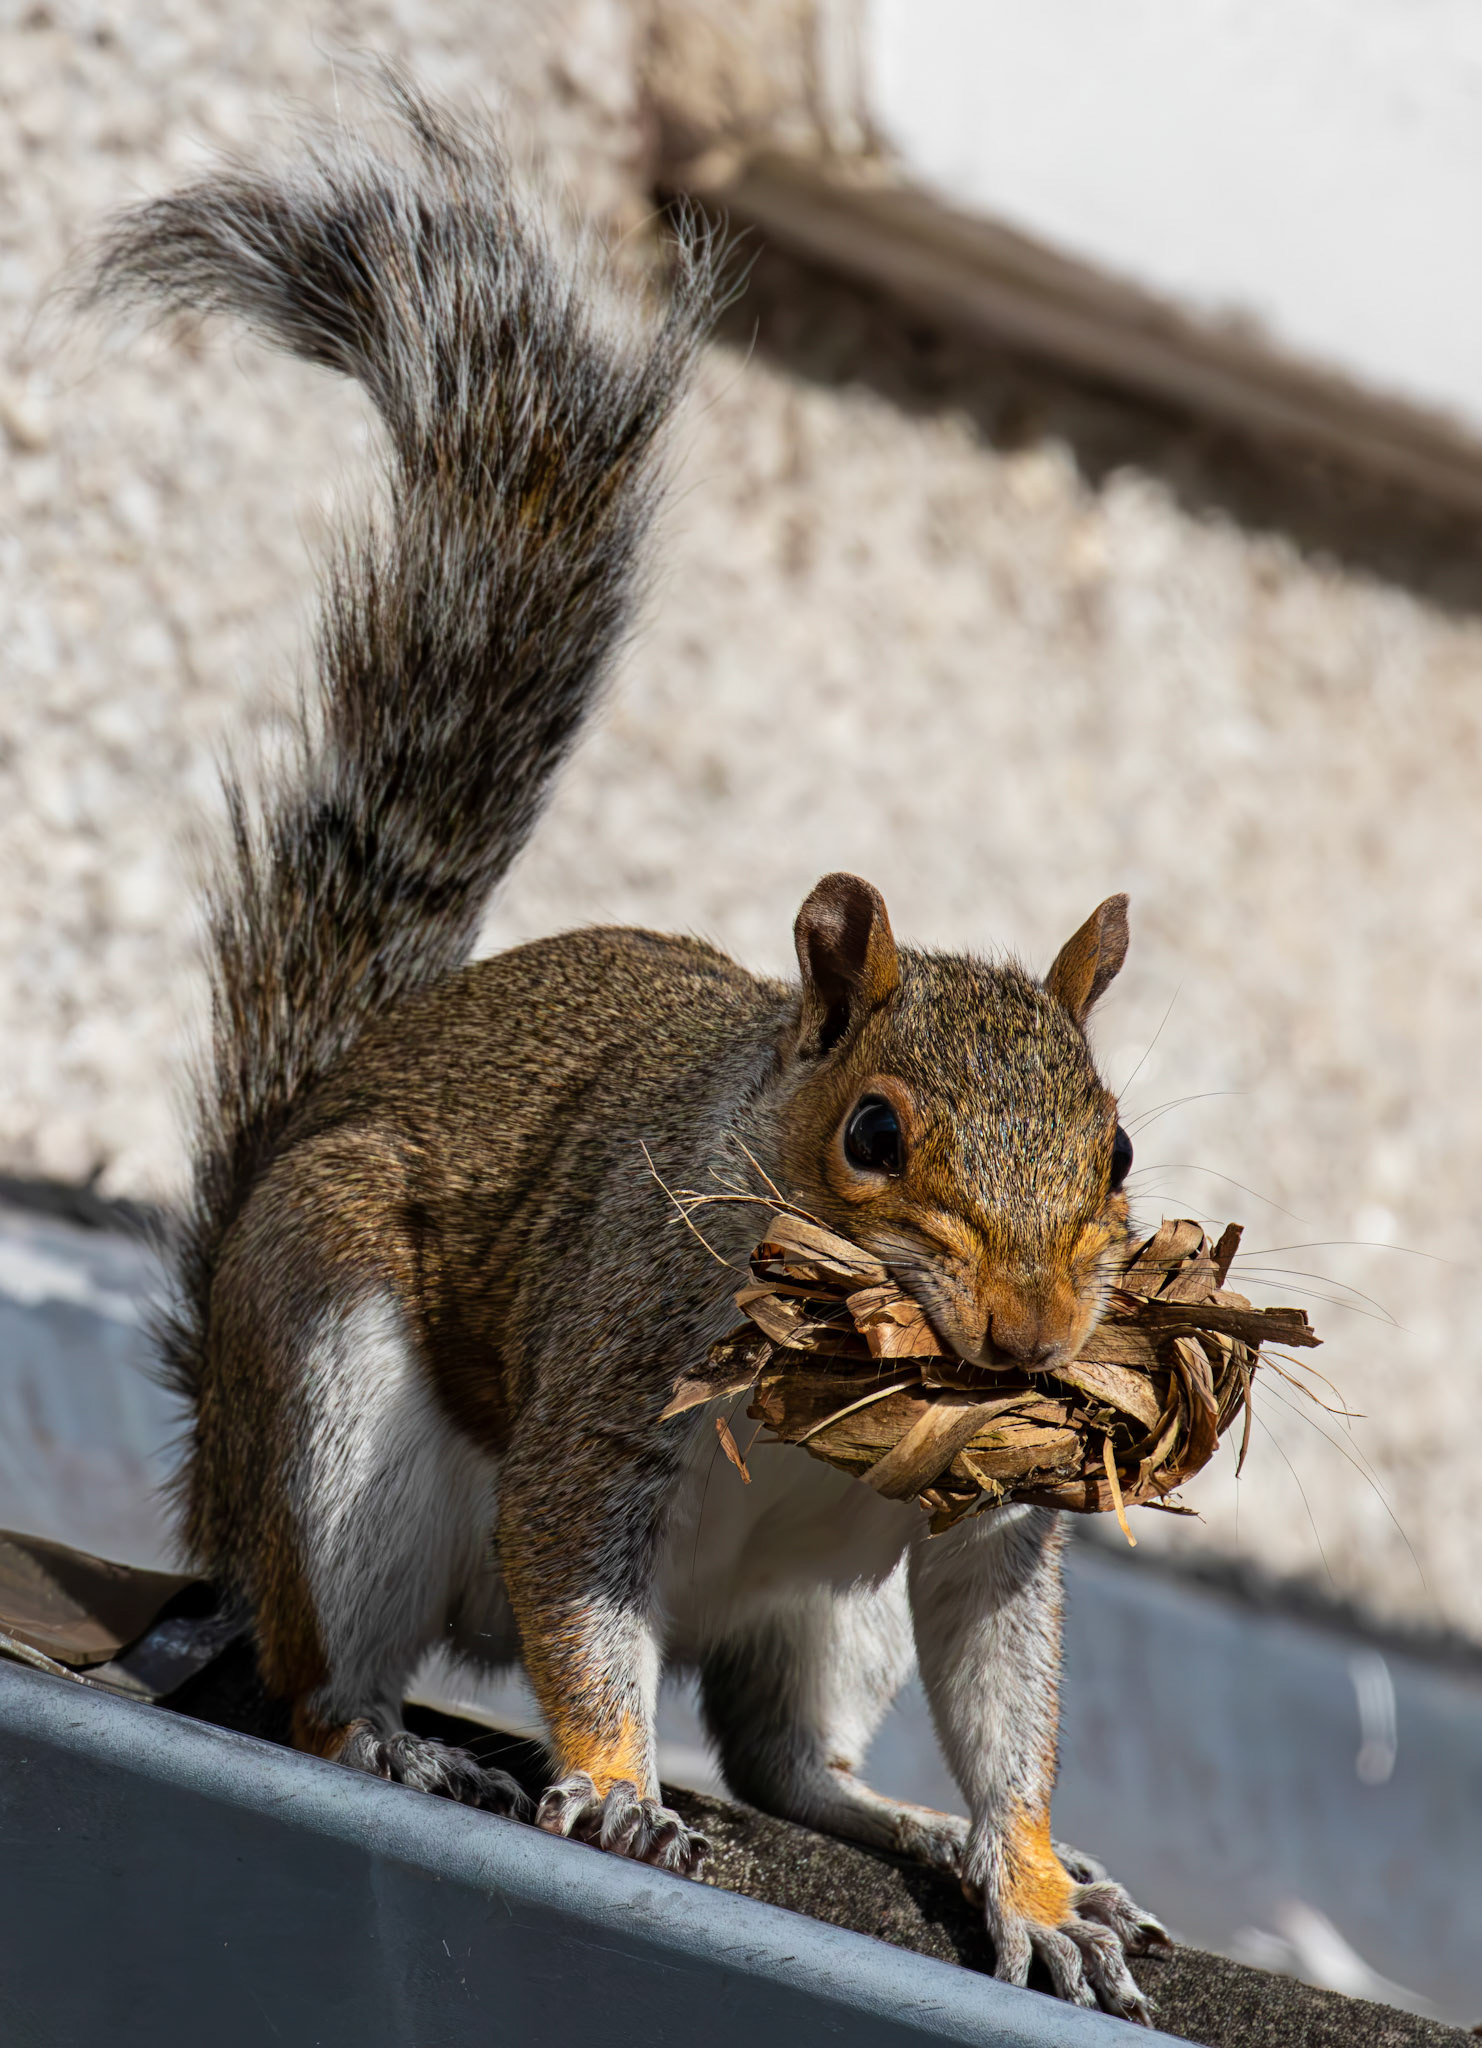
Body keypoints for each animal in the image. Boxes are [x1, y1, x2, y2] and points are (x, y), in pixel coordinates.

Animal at [87, 77, 1168, 2021]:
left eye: (1117, 1150)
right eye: (871, 1133)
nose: (1033, 1338)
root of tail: (217, 1465)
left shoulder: (983, 1505)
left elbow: (1009, 1692)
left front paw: (1039, 1884)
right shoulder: (614, 1361)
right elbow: (581, 1585)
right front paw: (605, 1784)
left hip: (821, 1619)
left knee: (787, 1760)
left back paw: (917, 1825)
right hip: (335, 1403)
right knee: (318, 1667)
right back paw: (392, 1733)